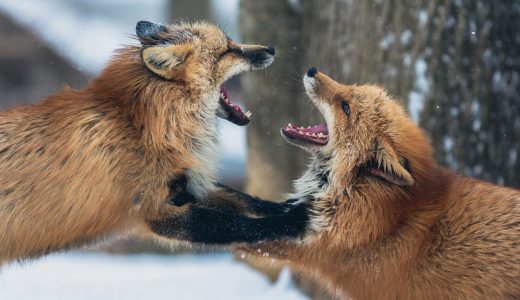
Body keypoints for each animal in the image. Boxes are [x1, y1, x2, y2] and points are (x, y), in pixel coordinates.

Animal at [0, 20, 288, 264]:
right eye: (228, 50)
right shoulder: (157, 211)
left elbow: (249, 201)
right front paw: (294, 223)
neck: (143, 128)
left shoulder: (190, 186)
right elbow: (244, 225)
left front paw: (289, 206)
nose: (272, 49)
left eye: (232, 42)